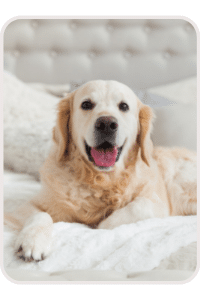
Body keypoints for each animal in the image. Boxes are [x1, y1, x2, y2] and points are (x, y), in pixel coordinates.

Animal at [5, 80, 197, 262]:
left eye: (124, 106)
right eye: (86, 104)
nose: (106, 124)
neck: (101, 179)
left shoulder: (158, 203)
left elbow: (135, 208)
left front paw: (99, 225)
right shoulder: (29, 206)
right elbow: (41, 214)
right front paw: (32, 241)